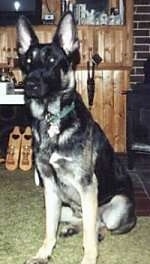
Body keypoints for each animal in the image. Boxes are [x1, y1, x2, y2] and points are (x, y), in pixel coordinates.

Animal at [17, 11, 137, 264]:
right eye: (28, 62)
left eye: (52, 60)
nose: (29, 85)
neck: (52, 119)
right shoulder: (50, 188)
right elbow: (49, 229)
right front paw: (43, 254)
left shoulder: (87, 185)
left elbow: (89, 238)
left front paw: (89, 258)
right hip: (64, 206)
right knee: (80, 220)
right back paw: (71, 228)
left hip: (116, 207)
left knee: (99, 223)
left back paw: (97, 232)